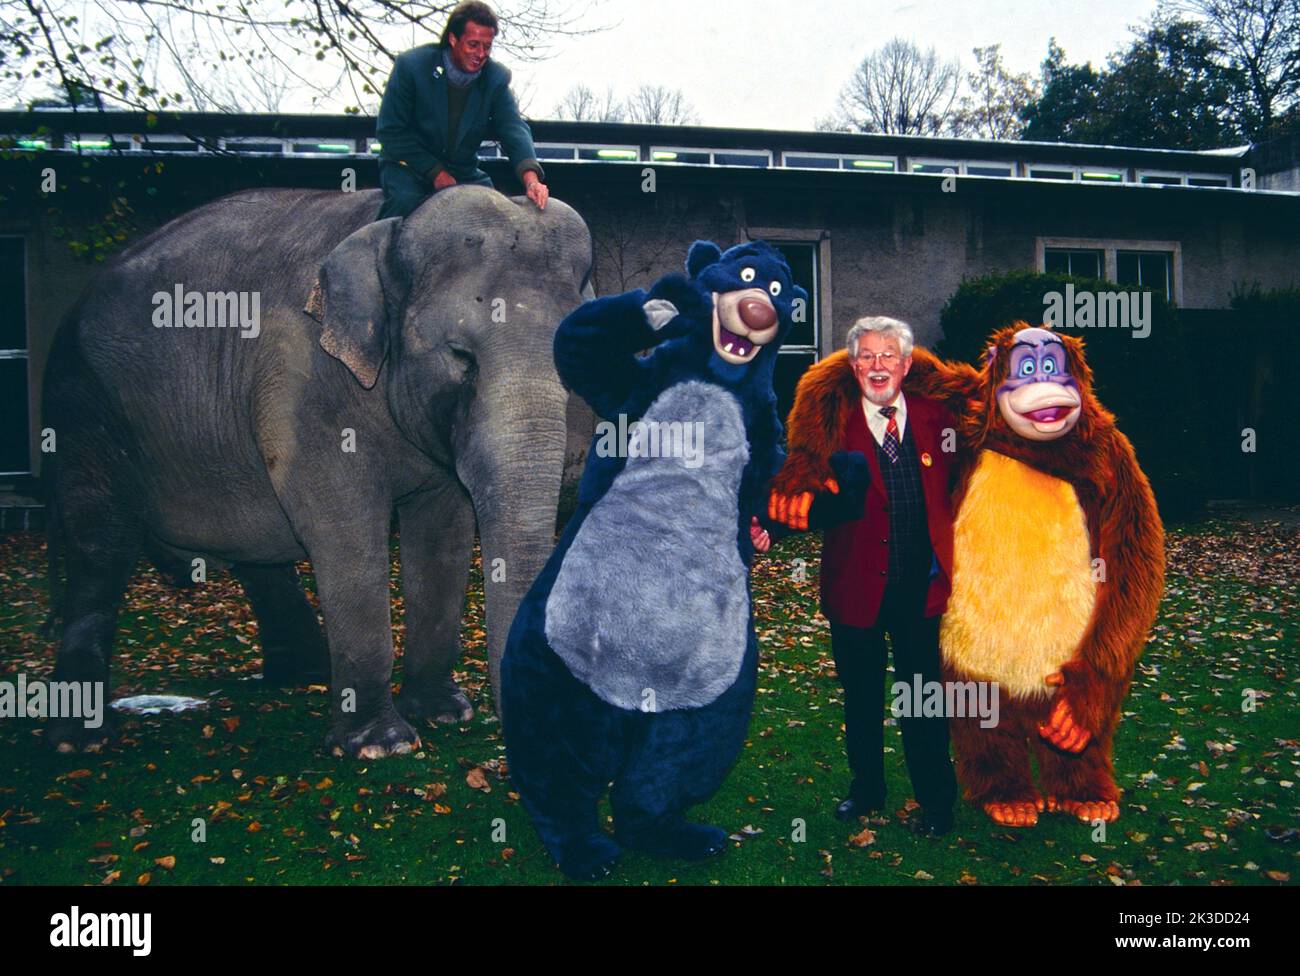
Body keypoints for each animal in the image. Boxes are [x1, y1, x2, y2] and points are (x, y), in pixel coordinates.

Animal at [39, 187, 590, 758]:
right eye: (461, 357)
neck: (389, 234)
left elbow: (444, 531)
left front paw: (443, 713)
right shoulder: (301, 384)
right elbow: (344, 529)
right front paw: (381, 745)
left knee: (253, 552)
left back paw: (303, 674)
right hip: (81, 411)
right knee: (100, 549)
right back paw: (78, 742)